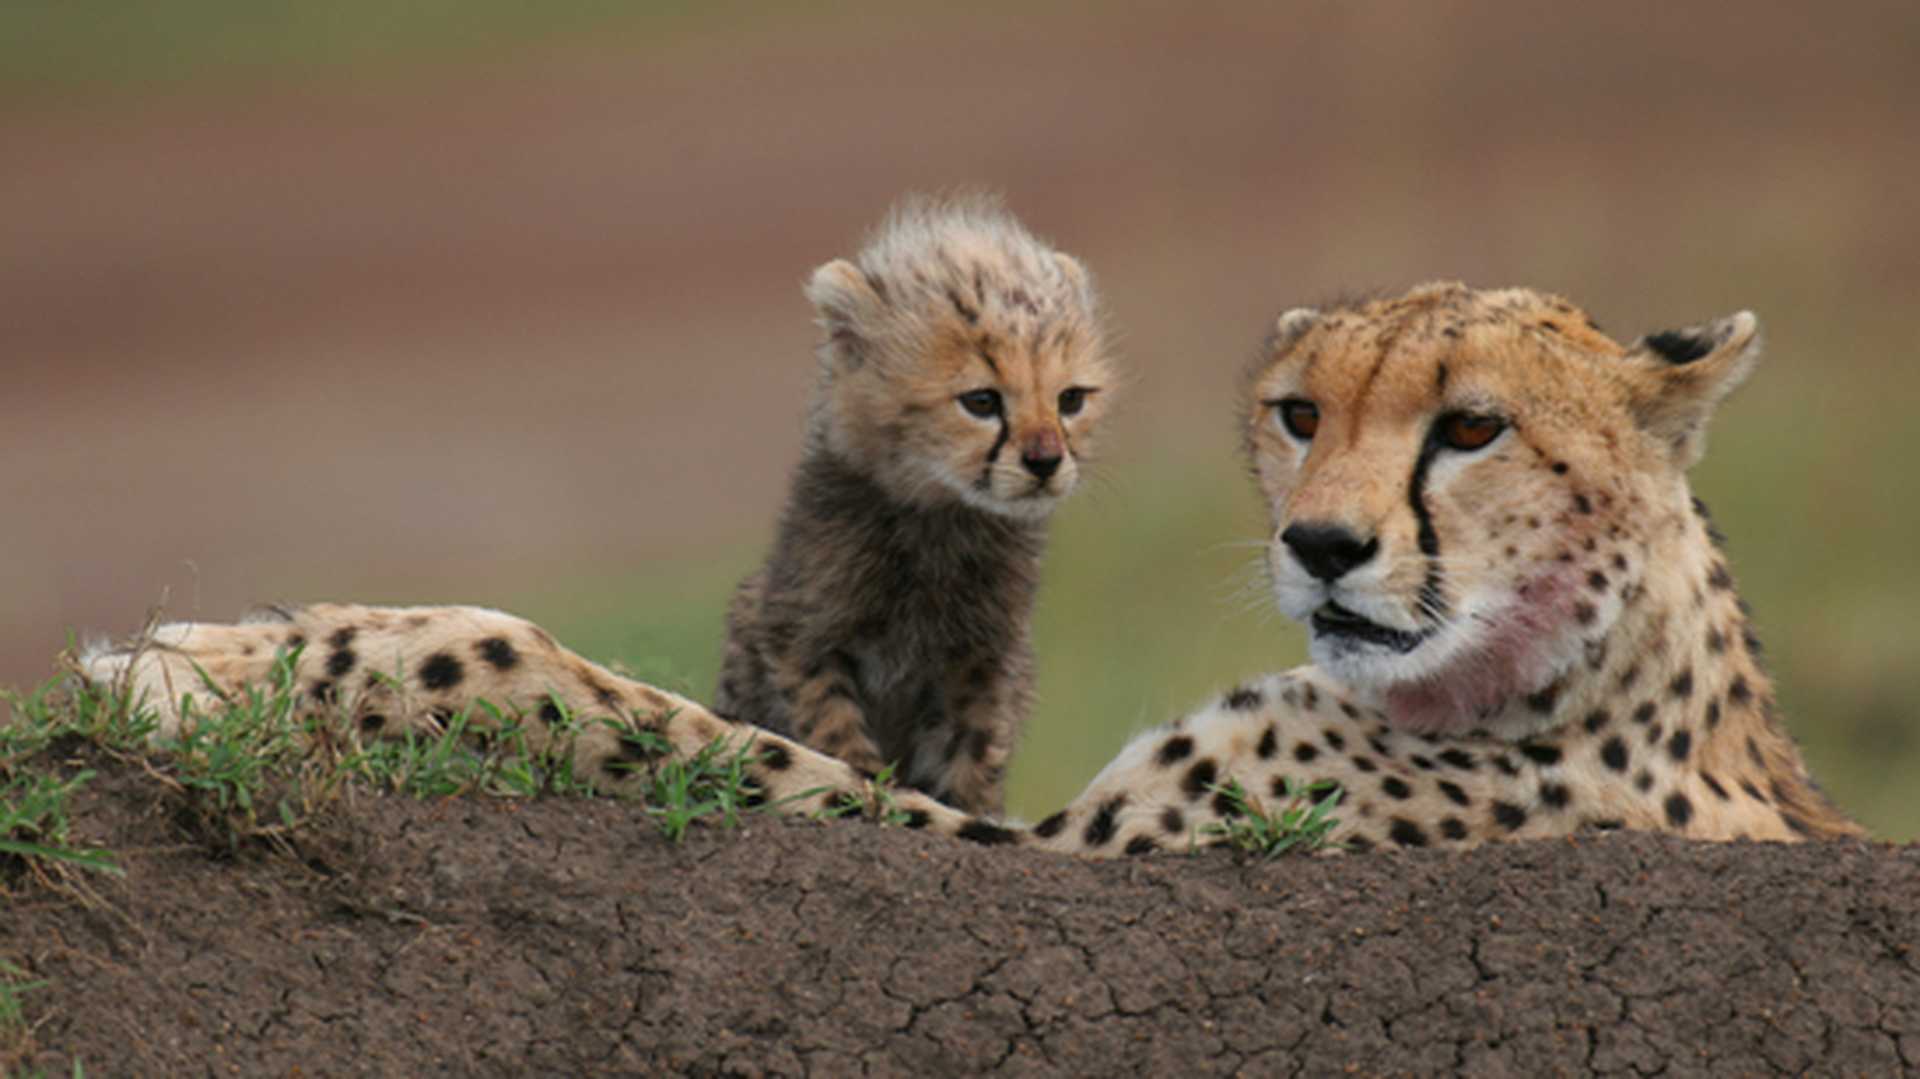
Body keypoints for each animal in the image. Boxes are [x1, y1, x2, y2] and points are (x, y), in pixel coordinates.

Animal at [79, 282, 1861, 855]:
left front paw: (247, 659)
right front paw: (239, 649)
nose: (1322, 544)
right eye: (1300, 413)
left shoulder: (1083, 856)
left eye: (1474, 428)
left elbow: (600, 697)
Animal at [713, 194, 1114, 817]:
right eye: (981, 401)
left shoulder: (982, 661)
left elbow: (972, 753)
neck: (943, 520)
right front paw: (867, 793)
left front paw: (972, 813)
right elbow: (834, 732)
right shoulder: (801, 637)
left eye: (1070, 399)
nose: (1046, 461)